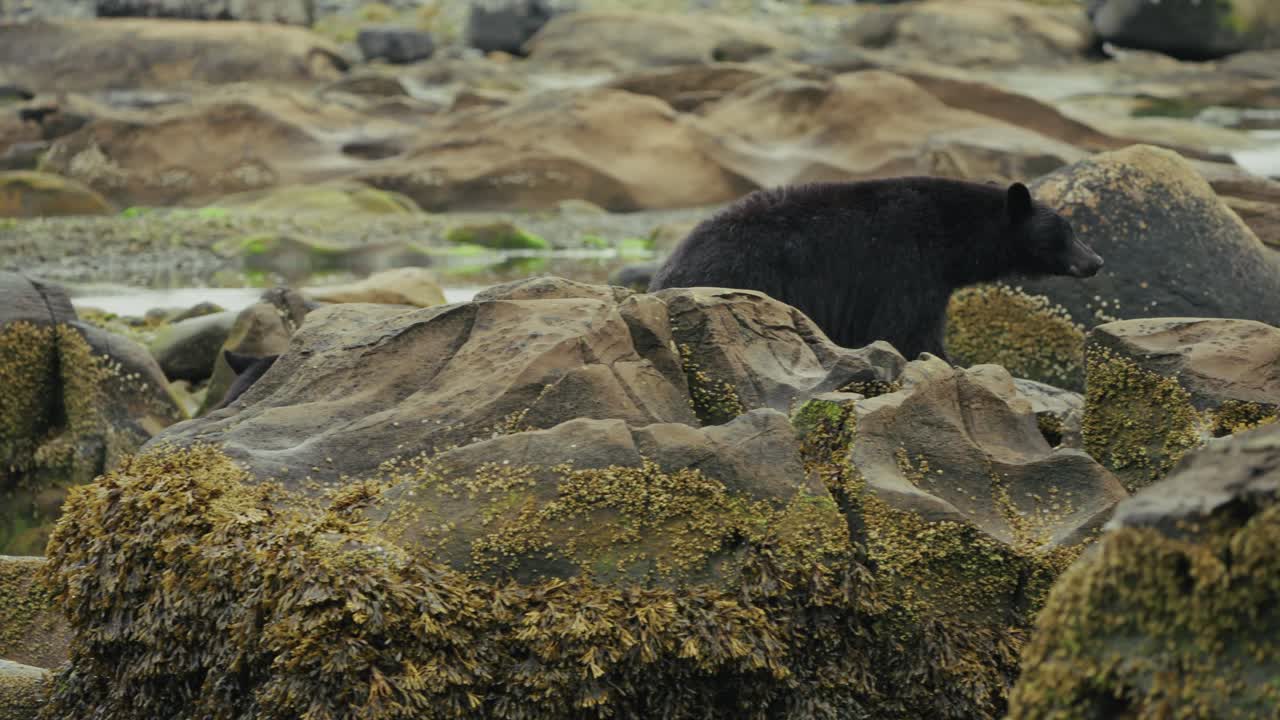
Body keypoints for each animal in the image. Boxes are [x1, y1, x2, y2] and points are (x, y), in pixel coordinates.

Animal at [648, 177, 1103, 361]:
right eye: (1064, 232)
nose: (1095, 261)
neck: (952, 234)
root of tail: (666, 273)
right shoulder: (905, 265)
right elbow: (906, 327)